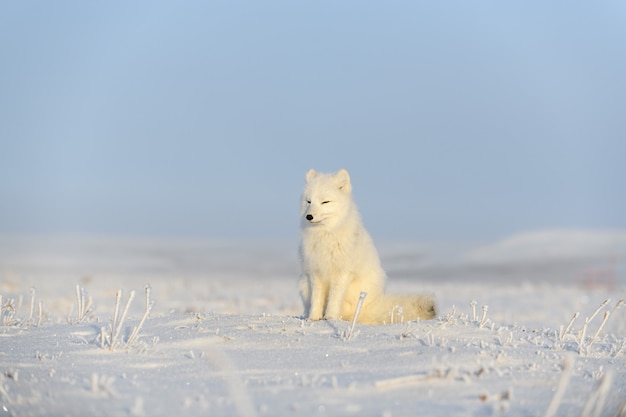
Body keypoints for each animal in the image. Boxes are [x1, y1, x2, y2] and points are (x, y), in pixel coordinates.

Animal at [298, 167, 434, 324]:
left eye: (325, 202)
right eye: (309, 201)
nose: (309, 216)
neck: (326, 235)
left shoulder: (342, 273)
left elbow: (334, 300)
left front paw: (330, 317)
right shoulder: (315, 271)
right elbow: (316, 299)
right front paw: (313, 318)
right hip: (303, 283)